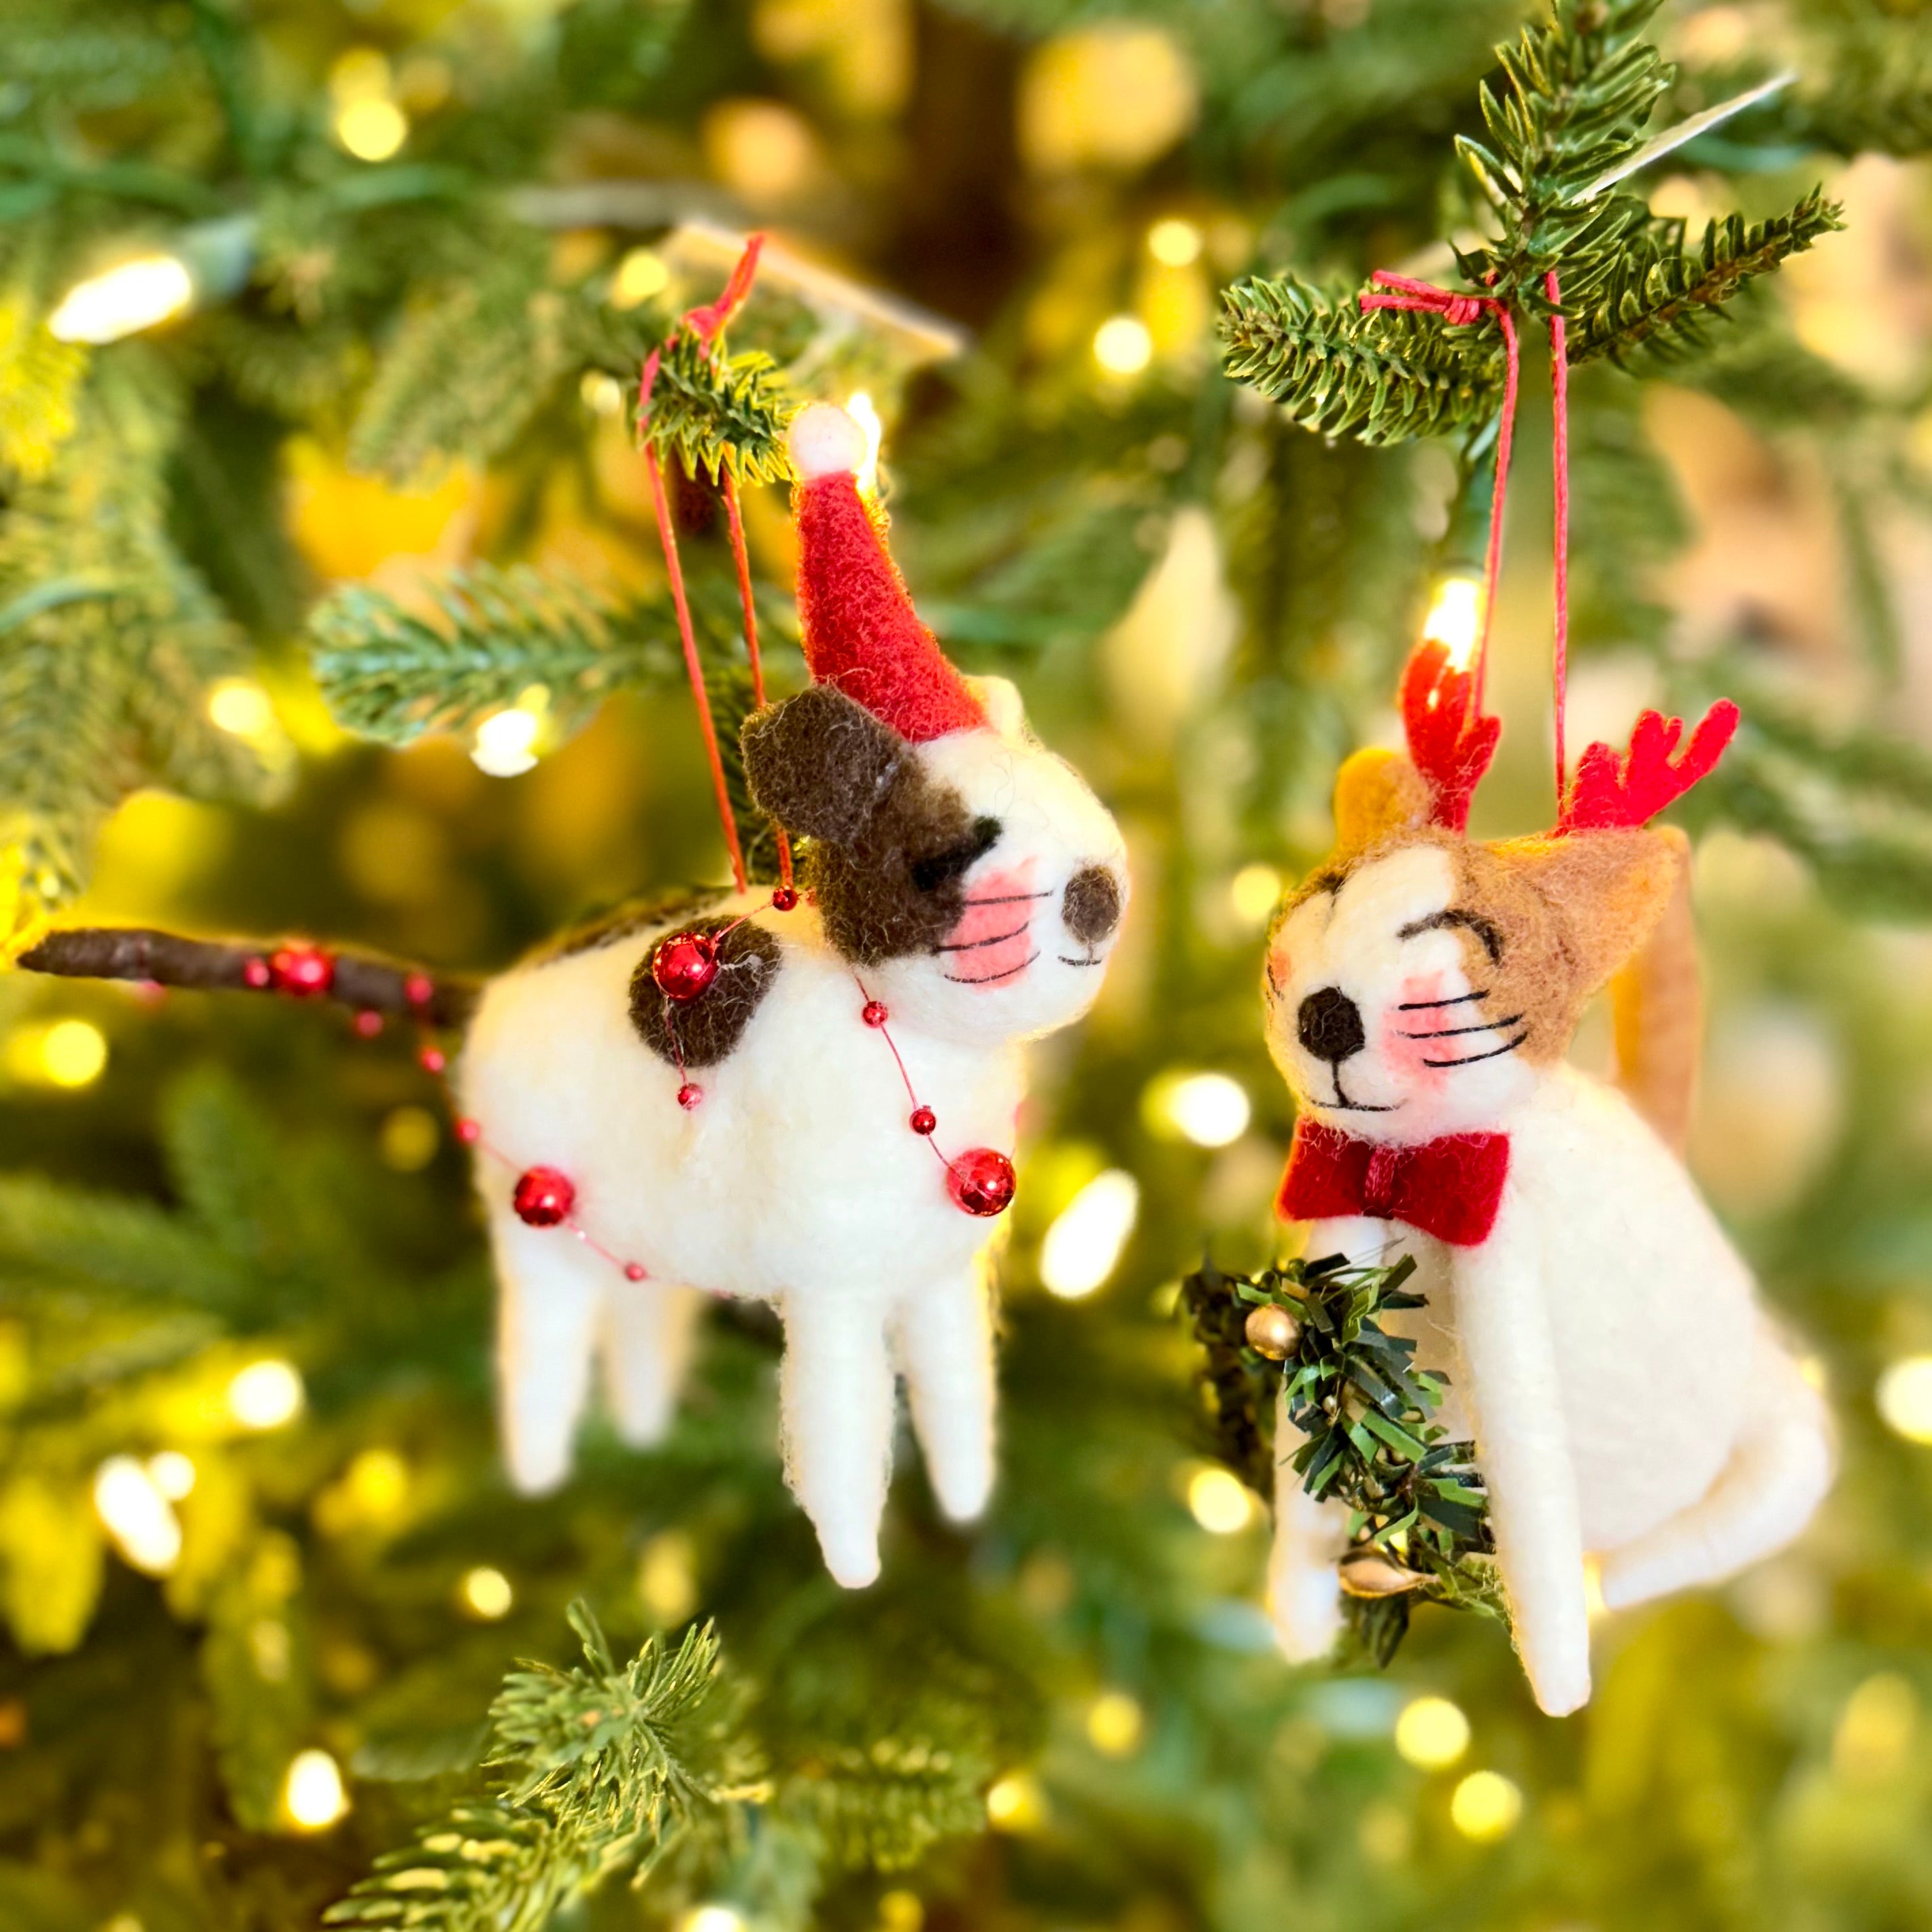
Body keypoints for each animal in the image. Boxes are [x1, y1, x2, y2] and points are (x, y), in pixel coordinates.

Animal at [454, 403, 1128, 1584]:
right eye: (943, 858)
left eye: (1071, 794)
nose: (1095, 893)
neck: (907, 1040)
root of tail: (494, 1008)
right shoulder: (837, 1289)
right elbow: (844, 1434)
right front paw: (855, 1568)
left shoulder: (937, 1276)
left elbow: (957, 1397)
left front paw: (966, 1498)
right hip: (534, 1230)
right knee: (541, 1352)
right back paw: (538, 1470)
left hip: (638, 1228)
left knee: (640, 1323)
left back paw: (642, 1428)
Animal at [1259, 649, 1831, 1723]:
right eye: (1324, 901)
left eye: (1455, 935)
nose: (1324, 1015)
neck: (1415, 1171)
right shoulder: (1345, 1197)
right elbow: (1302, 1453)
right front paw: (1299, 1611)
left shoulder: (1497, 1249)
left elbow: (1532, 1494)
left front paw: (1560, 1676)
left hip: (1758, 1398)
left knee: (1784, 1478)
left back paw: (1634, 1579)